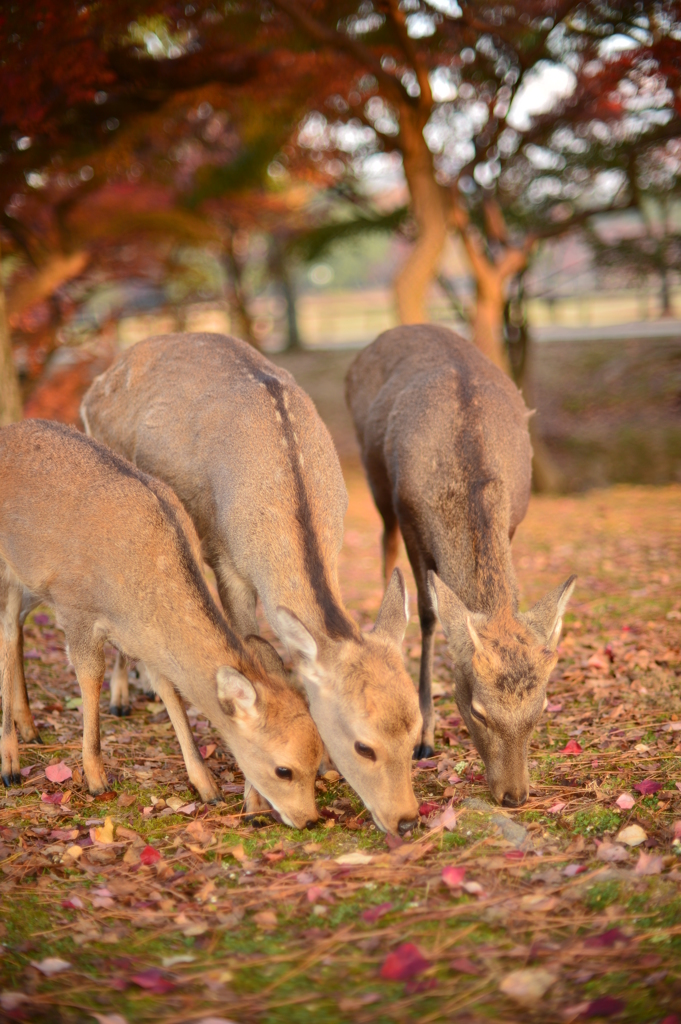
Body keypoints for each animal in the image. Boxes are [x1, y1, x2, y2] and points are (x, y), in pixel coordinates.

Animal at [0, 413, 321, 823]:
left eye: (319, 761)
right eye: (284, 769)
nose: (309, 820)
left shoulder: (143, 637)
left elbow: (168, 688)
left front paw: (207, 786)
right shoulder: (76, 610)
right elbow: (90, 679)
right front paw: (96, 778)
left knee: (16, 630)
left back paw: (29, 727)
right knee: (7, 632)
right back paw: (10, 762)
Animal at [79, 331, 419, 835]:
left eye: (416, 732)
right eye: (364, 746)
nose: (408, 820)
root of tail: (98, 382)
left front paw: (318, 764)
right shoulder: (225, 562)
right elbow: (246, 653)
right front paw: (255, 801)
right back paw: (120, 696)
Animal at [346, 325, 573, 806]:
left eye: (541, 709)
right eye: (478, 711)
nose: (515, 796)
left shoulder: (514, 519)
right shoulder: (410, 517)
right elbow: (429, 614)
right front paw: (424, 735)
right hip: (376, 481)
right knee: (384, 548)